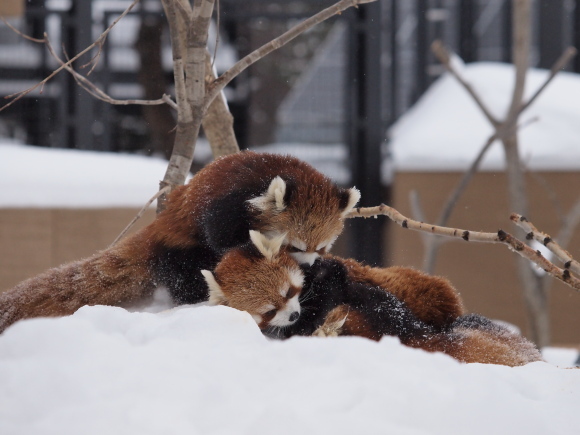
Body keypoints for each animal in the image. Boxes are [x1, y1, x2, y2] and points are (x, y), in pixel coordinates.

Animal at [0, 152, 360, 334]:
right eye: (296, 246)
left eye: (322, 248)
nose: (310, 264)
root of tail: (155, 229)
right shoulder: (225, 203)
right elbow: (222, 240)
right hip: (176, 250)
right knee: (189, 275)